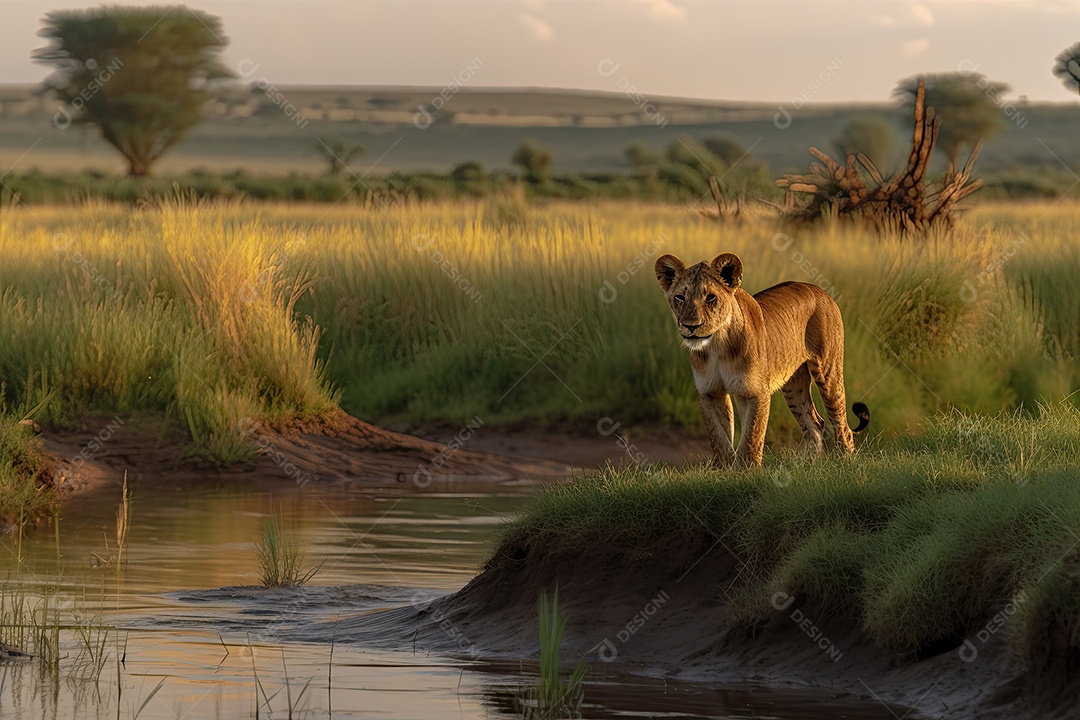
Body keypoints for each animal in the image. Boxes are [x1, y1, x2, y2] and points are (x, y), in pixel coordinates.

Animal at [654, 252, 869, 466]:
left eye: (711, 298)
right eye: (680, 297)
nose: (691, 326)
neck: (717, 345)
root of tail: (820, 290)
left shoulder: (756, 392)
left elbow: (751, 439)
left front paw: (747, 470)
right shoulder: (710, 393)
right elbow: (720, 440)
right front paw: (725, 469)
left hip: (828, 372)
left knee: (842, 425)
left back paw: (845, 463)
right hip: (794, 385)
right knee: (815, 424)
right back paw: (808, 465)